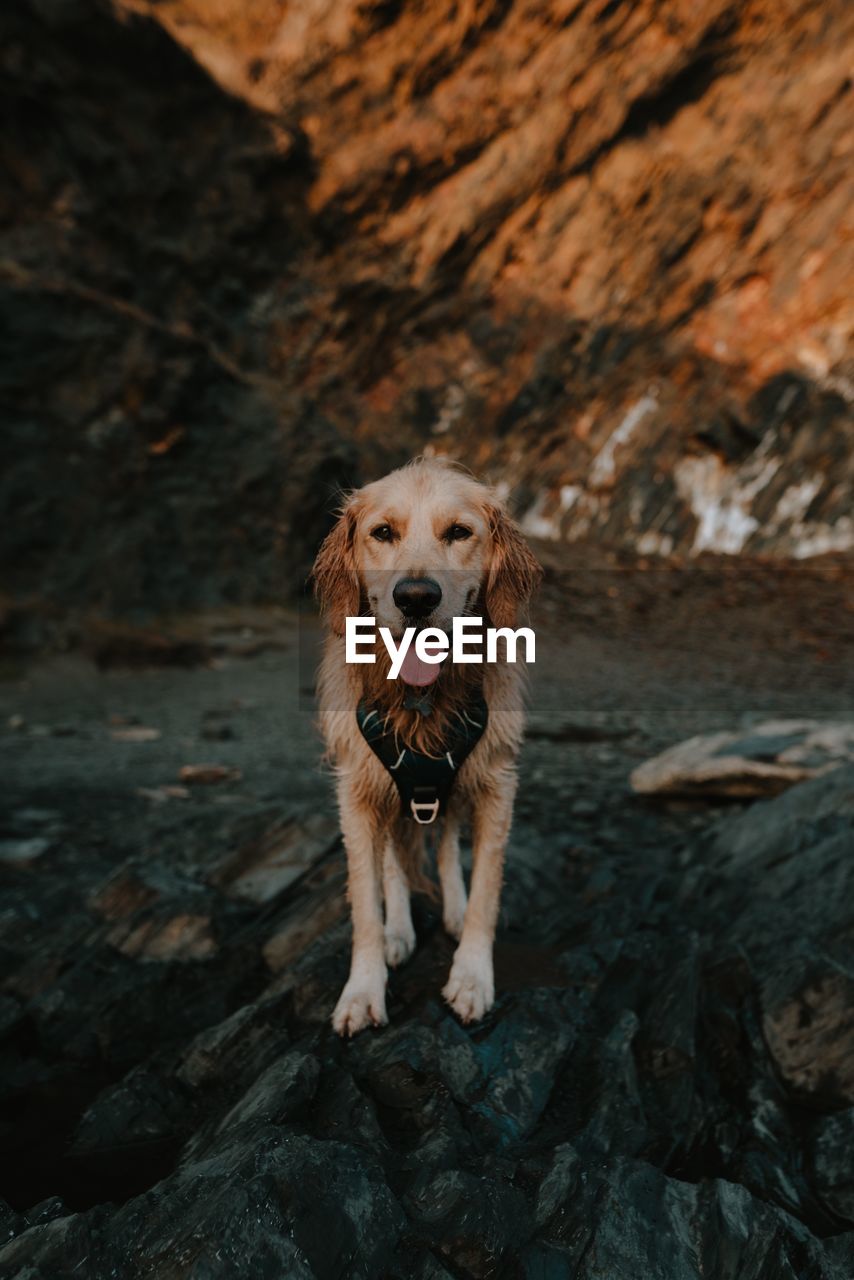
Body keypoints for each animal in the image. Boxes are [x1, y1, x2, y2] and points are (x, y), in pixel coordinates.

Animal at [313, 455, 540, 1034]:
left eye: (459, 532)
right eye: (382, 533)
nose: (416, 597)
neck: (421, 702)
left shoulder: (496, 783)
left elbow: (485, 890)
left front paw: (472, 977)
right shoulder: (356, 791)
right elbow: (365, 902)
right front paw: (363, 989)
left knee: (444, 842)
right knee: (395, 860)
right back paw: (399, 930)